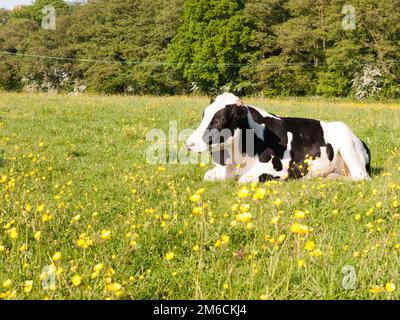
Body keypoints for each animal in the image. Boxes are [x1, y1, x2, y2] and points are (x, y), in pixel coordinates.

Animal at [186, 92, 370, 182]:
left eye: (219, 119)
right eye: (204, 114)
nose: (189, 143)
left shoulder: (276, 169)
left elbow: (244, 179)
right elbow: (208, 176)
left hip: (349, 148)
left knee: (360, 178)